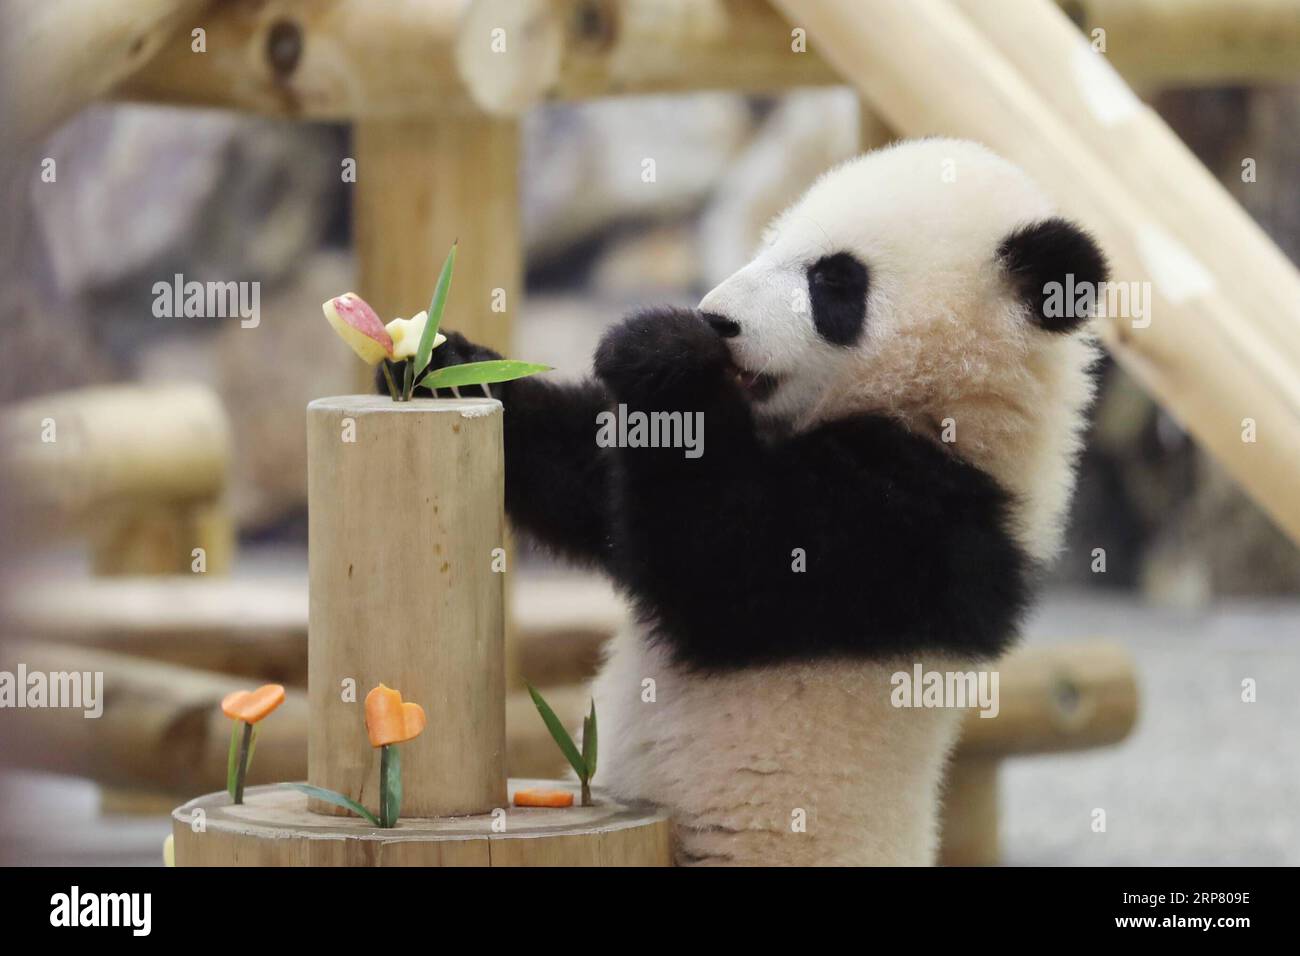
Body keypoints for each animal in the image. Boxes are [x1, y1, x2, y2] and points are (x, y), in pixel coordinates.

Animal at [403, 138, 1107, 865]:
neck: (958, 410)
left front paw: (660, 349)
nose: (717, 318)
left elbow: (726, 559)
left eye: (834, 281)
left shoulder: (925, 519)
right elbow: (592, 483)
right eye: (773, 243)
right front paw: (441, 361)